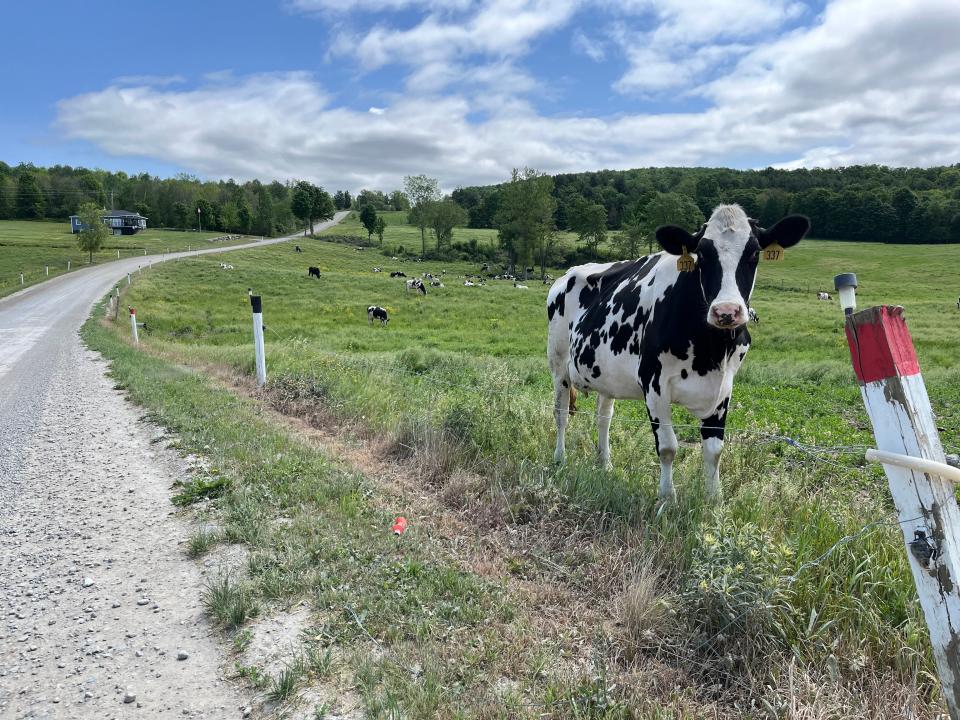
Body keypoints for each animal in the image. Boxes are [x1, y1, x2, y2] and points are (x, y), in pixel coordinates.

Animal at [544, 205, 808, 504]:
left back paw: (605, 464)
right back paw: (560, 459)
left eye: (754, 252)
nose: (727, 312)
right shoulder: (654, 383)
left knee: (604, 417)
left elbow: (714, 449)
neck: (710, 351)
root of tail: (570, 272)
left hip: (605, 373)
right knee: (561, 413)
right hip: (558, 364)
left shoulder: (724, 387)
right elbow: (668, 447)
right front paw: (667, 500)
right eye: (702, 254)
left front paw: (714, 501)